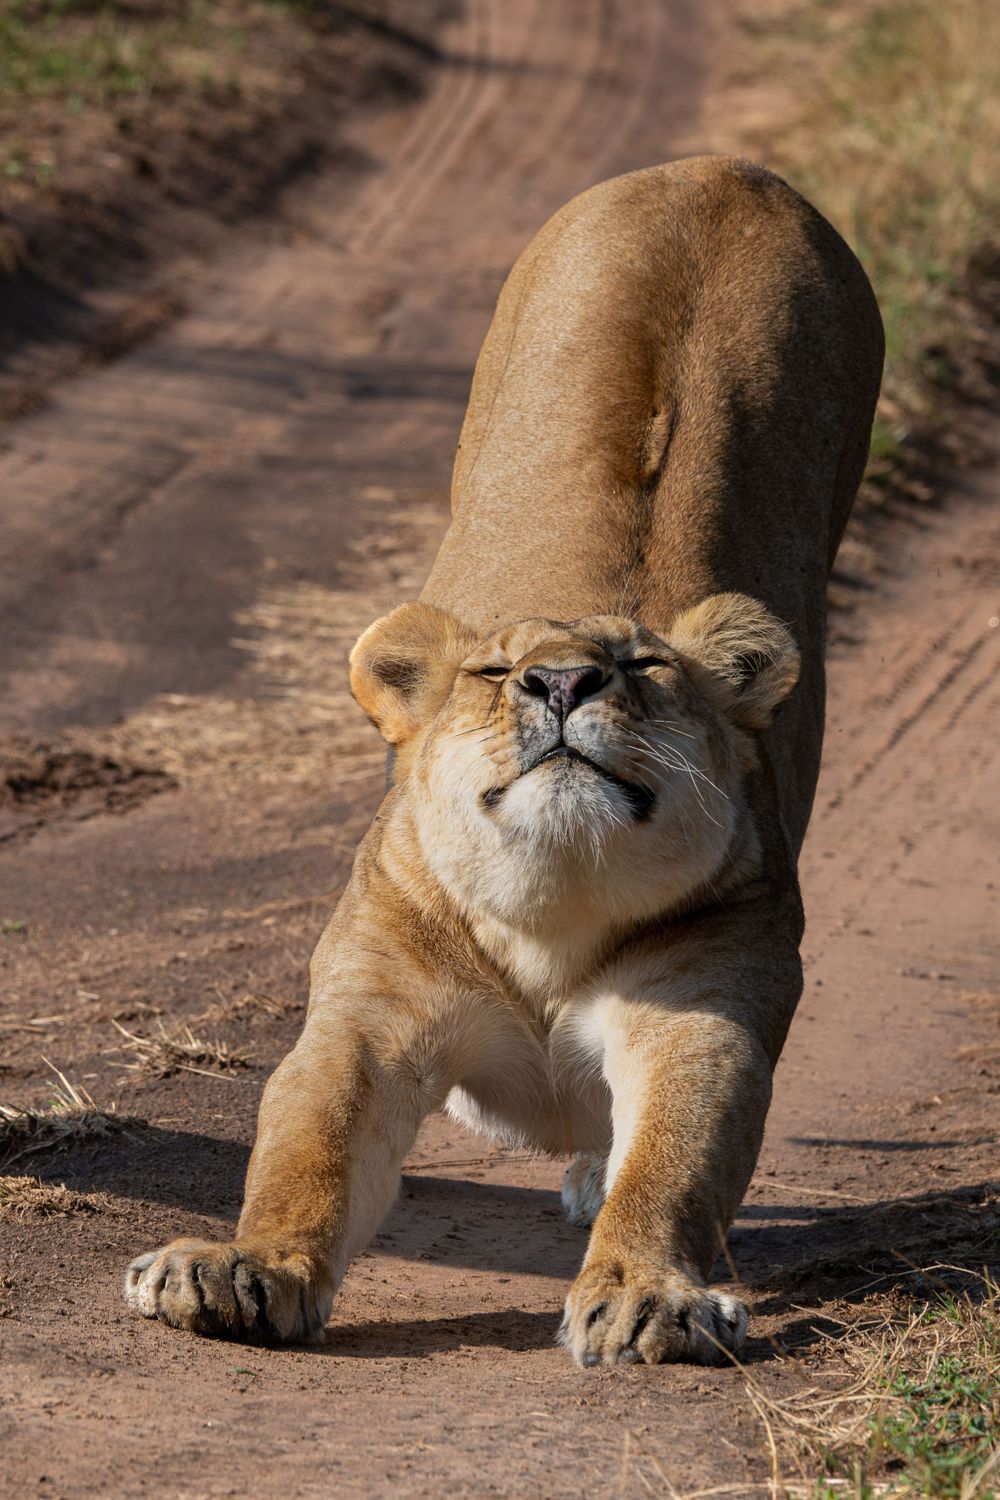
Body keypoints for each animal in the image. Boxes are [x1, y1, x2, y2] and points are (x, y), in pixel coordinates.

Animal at [125, 156, 883, 1365]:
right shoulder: (374, 1011)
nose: (562, 682)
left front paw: (651, 1296)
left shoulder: (702, 1005)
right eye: (494, 671)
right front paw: (241, 1269)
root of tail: (718, 168)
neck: (548, 904)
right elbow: (306, 1150)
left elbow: (675, 1161)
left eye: (641, 663)